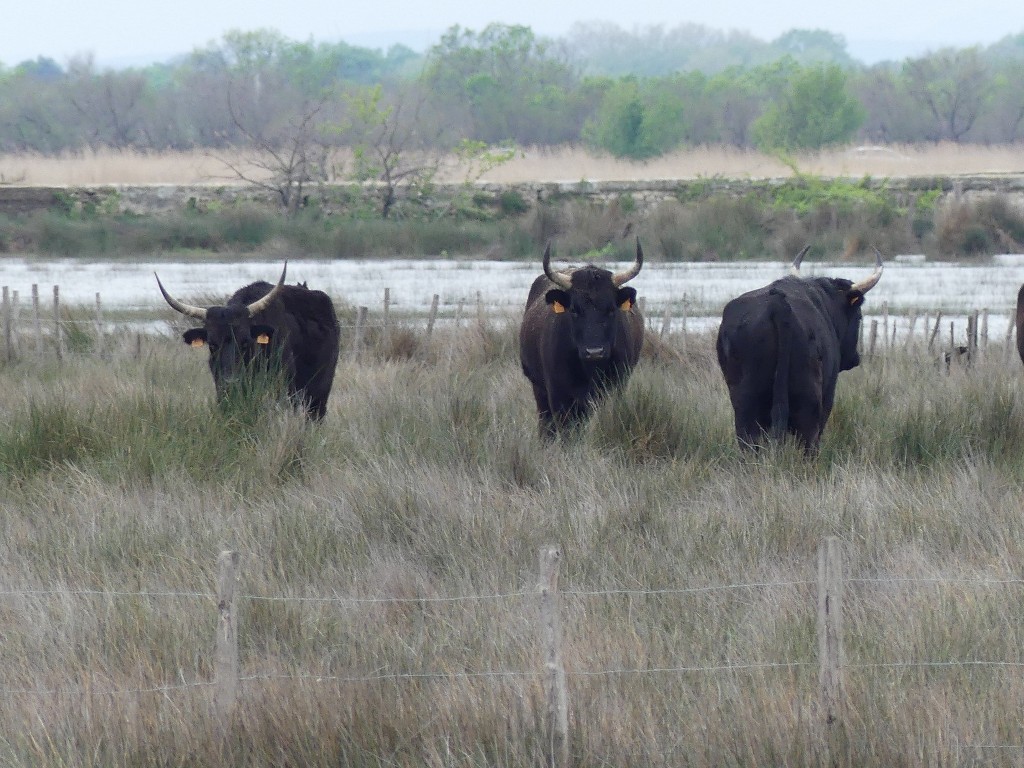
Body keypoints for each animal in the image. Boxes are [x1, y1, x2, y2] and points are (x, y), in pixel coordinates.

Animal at [516, 244, 643, 438]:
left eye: (611, 309)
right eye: (574, 310)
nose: (594, 352)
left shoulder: (616, 388)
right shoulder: (559, 396)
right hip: (539, 392)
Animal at [716, 246, 884, 454]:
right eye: (859, 317)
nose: (855, 358)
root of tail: (778, 303)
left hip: (745, 401)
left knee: (748, 439)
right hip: (809, 400)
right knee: (808, 439)